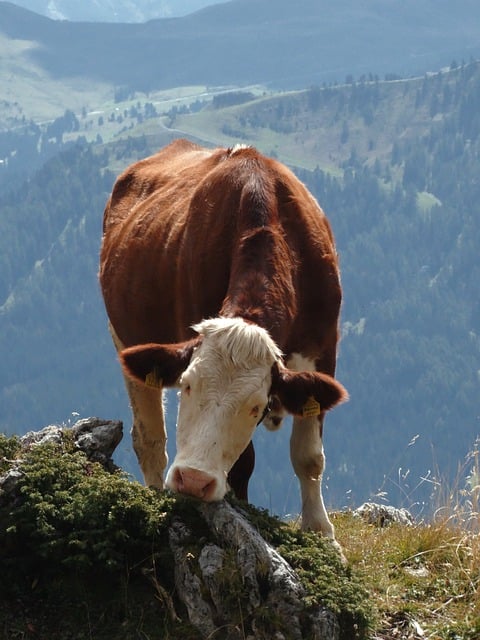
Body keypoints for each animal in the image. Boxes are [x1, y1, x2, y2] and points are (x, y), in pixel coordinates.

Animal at [99, 138, 348, 547]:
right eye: (185, 386)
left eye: (256, 406)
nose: (193, 480)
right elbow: (243, 464)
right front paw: (242, 516)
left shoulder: (324, 349)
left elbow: (309, 456)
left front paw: (322, 534)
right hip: (124, 337)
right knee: (149, 438)